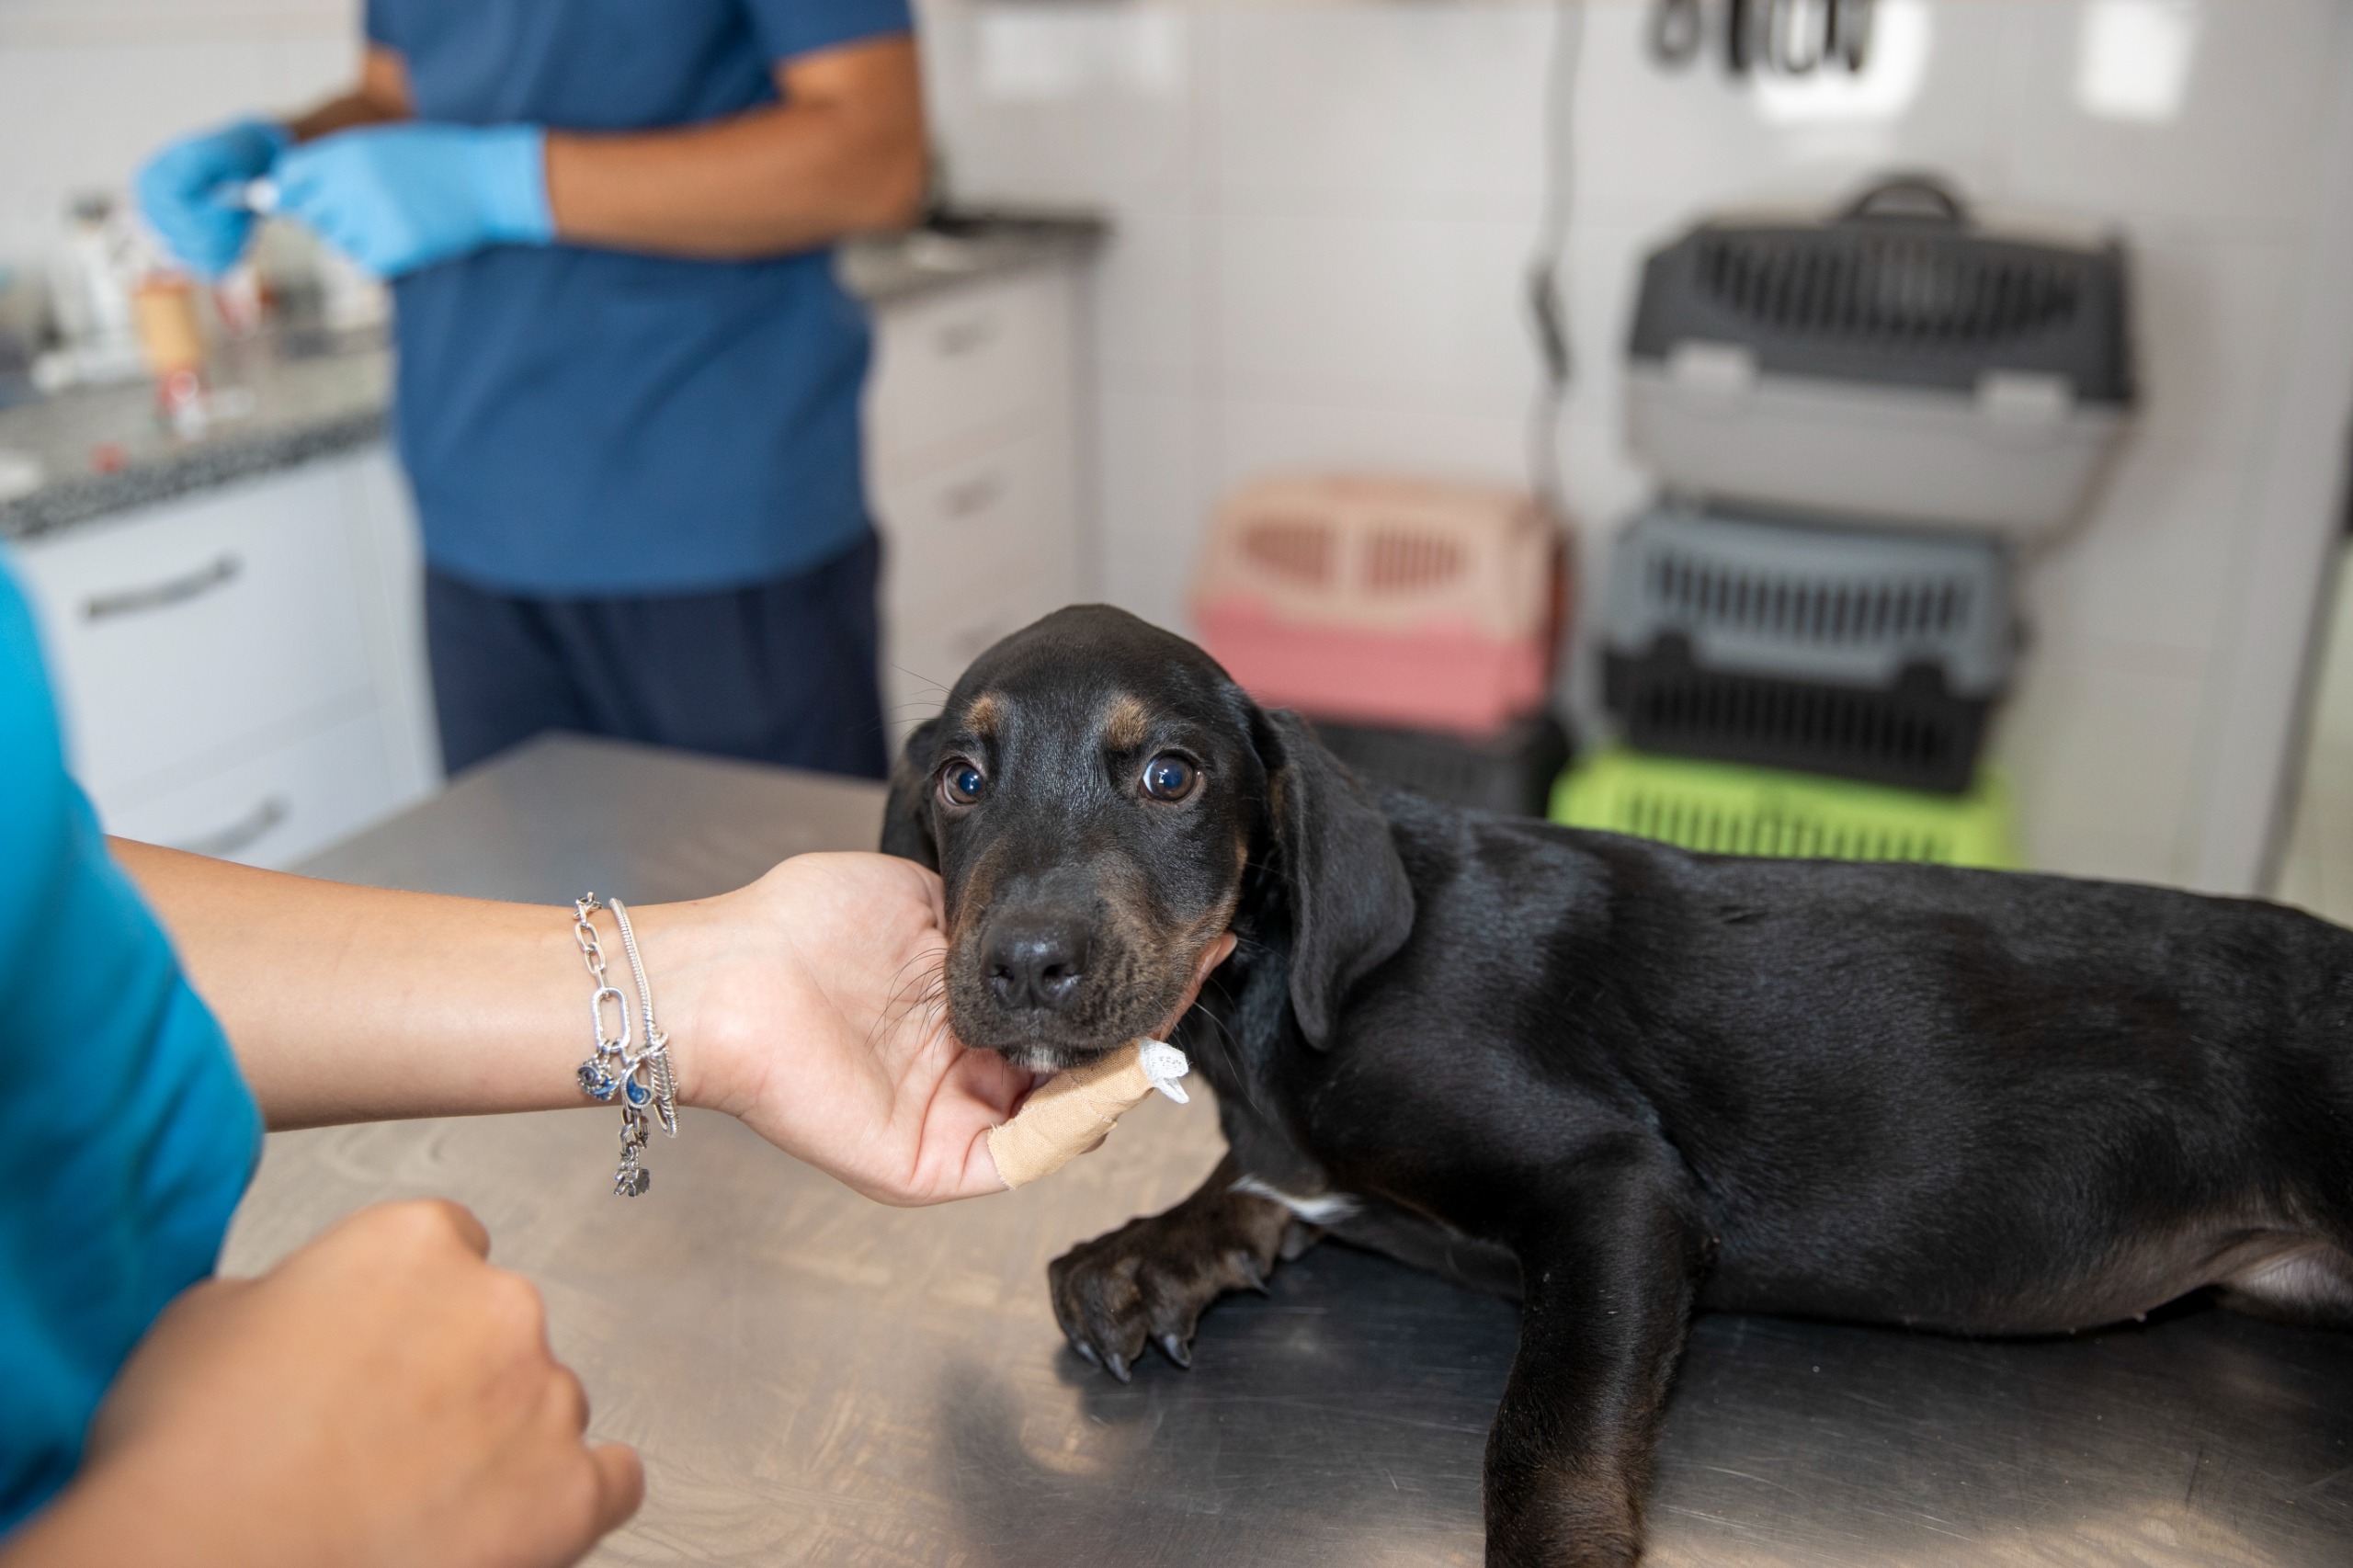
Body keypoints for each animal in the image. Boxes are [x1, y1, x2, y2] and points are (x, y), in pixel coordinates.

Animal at [884, 607, 2353, 1562]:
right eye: (960, 778)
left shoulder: (1620, 1190)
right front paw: (1155, 1246)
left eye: (1169, 775)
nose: (1023, 965)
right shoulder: (1306, 1157)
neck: (1274, 1011)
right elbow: (1261, 1183)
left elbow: (1545, 1433)